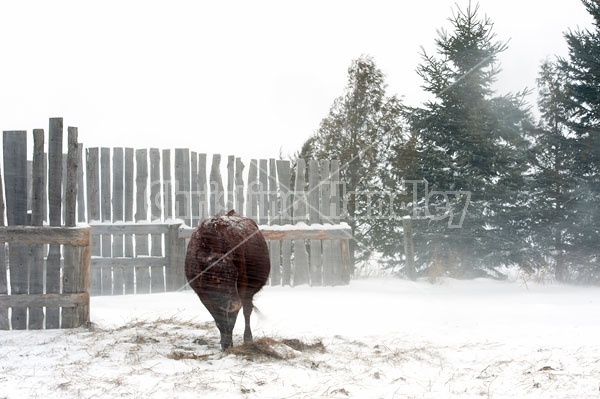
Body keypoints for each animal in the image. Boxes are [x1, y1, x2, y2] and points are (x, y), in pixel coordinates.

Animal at [185, 211, 270, 348]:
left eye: (236, 276)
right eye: (215, 279)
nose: (234, 303)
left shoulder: (240, 289)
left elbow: (232, 318)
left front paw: (228, 343)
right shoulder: (204, 295)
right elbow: (218, 318)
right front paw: (224, 342)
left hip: (248, 293)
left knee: (247, 311)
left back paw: (248, 338)